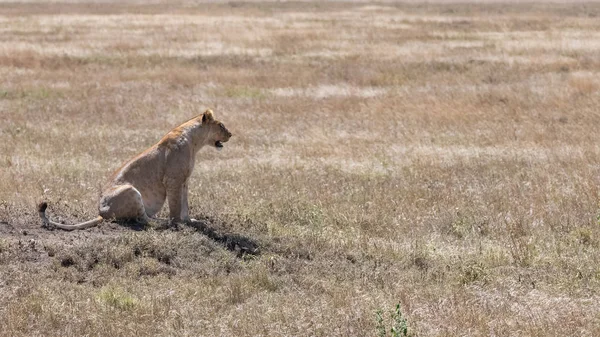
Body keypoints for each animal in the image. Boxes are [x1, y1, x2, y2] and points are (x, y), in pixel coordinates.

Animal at [38, 109, 232, 230]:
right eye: (221, 125)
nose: (231, 134)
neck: (194, 142)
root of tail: (101, 213)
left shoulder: (184, 180)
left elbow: (185, 205)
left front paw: (191, 221)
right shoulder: (173, 180)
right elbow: (176, 206)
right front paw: (178, 224)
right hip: (130, 190)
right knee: (143, 219)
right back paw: (163, 223)